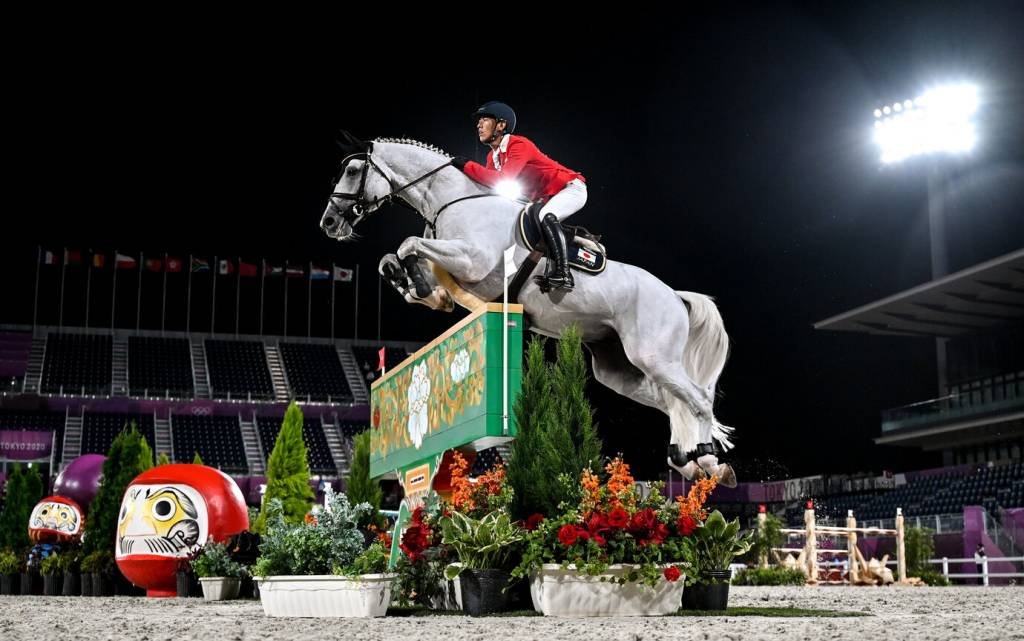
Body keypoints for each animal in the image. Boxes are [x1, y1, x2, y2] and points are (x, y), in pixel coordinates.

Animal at [319, 130, 737, 481]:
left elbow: (408, 244)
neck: (450, 201)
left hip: (652, 354)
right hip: (617, 368)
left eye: (353, 171)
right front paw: (408, 280)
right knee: (670, 401)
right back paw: (689, 462)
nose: (329, 223)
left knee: (698, 400)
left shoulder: (471, 260)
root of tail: (675, 296)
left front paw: (410, 275)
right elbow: (402, 264)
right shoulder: (451, 271)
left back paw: (707, 458)